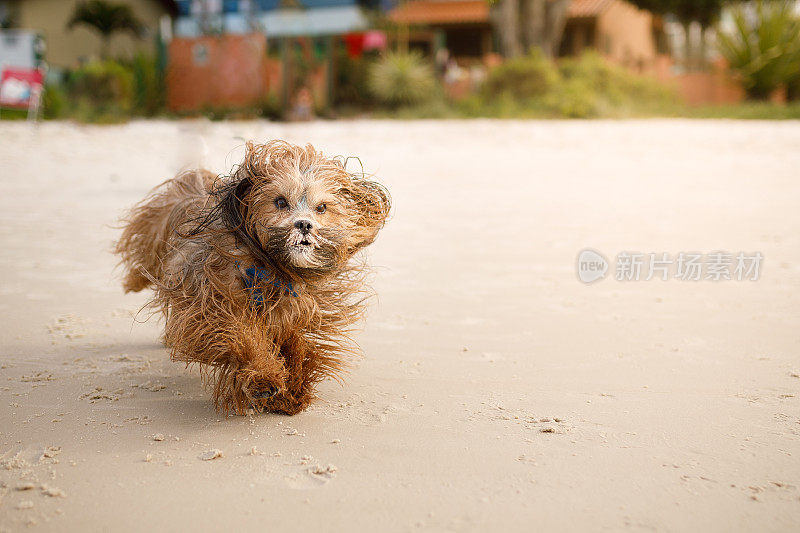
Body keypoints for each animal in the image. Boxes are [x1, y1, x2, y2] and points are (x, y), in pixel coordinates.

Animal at [115, 139, 390, 414]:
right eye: (280, 202)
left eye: (321, 207)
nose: (304, 224)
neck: (271, 266)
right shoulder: (215, 303)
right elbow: (245, 339)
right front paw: (264, 379)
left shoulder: (294, 311)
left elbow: (296, 345)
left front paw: (293, 392)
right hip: (155, 239)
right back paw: (133, 282)